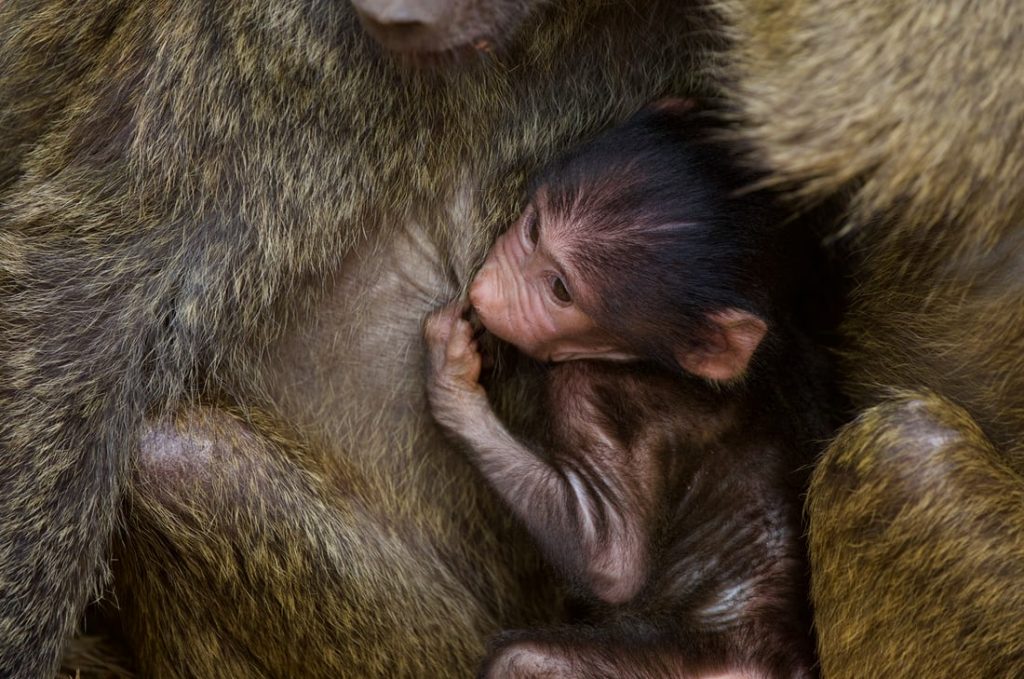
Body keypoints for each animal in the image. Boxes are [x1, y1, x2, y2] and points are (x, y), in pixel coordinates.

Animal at [424, 104, 828, 678]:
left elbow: (612, 562)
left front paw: (451, 377)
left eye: (560, 290)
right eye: (532, 229)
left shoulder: (592, 390)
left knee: (523, 662)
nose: (485, 292)